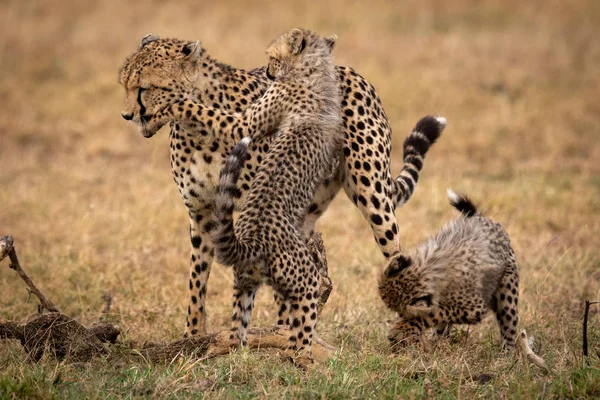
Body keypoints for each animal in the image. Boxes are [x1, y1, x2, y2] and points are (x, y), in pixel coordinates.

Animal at [118, 32, 446, 336]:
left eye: (144, 88)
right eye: (124, 85)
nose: (127, 115)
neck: (196, 133)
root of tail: (352, 71)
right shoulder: (201, 212)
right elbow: (197, 278)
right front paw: (194, 335)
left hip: (372, 195)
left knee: (394, 254)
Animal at [380, 189, 520, 348]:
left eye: (402, 312)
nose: (400, 316)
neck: (429, 270)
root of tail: (483, 219)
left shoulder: (475, 309)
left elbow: (436, 313)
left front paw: (402, 329)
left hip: (507, 290)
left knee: (509, 322)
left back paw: (506, 351)